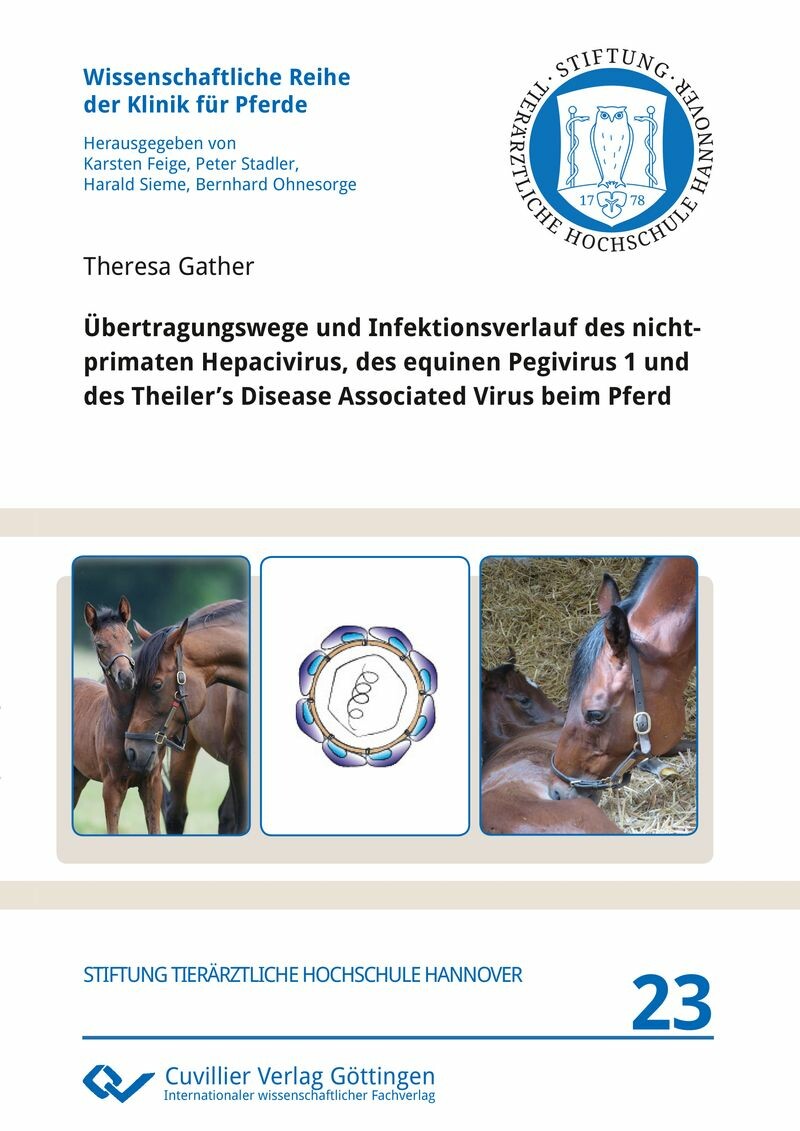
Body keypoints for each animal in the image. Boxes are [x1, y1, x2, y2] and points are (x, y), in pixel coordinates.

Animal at [72, 597, 167, 833]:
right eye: (99, 644)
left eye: (130, 640)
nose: (126, 677)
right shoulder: (112, 786)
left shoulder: (152, 783)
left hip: (79, 776)